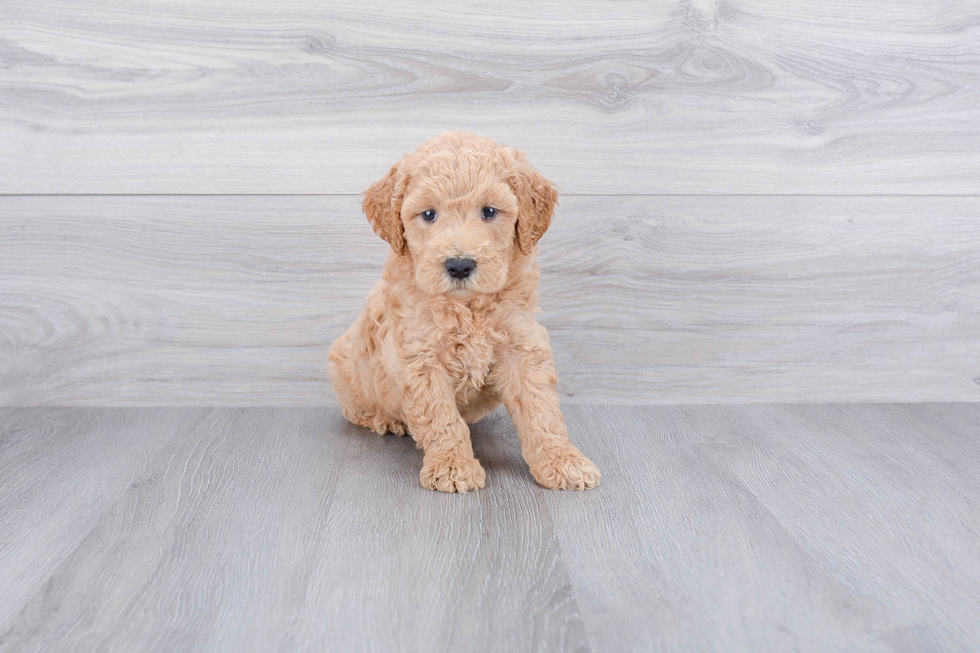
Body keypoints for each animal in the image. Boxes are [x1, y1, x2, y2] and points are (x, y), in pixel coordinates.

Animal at [332, 130, 596, 492]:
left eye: (489, 211)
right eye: (429, 215)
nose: (459, 265)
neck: (467, 305)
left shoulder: (521, 344)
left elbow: (541, 409)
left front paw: (563, 461)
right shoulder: (421, 356)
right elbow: (441, 417)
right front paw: (453, 467)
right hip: (345, 364)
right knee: (355, 409)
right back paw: (385, 419)